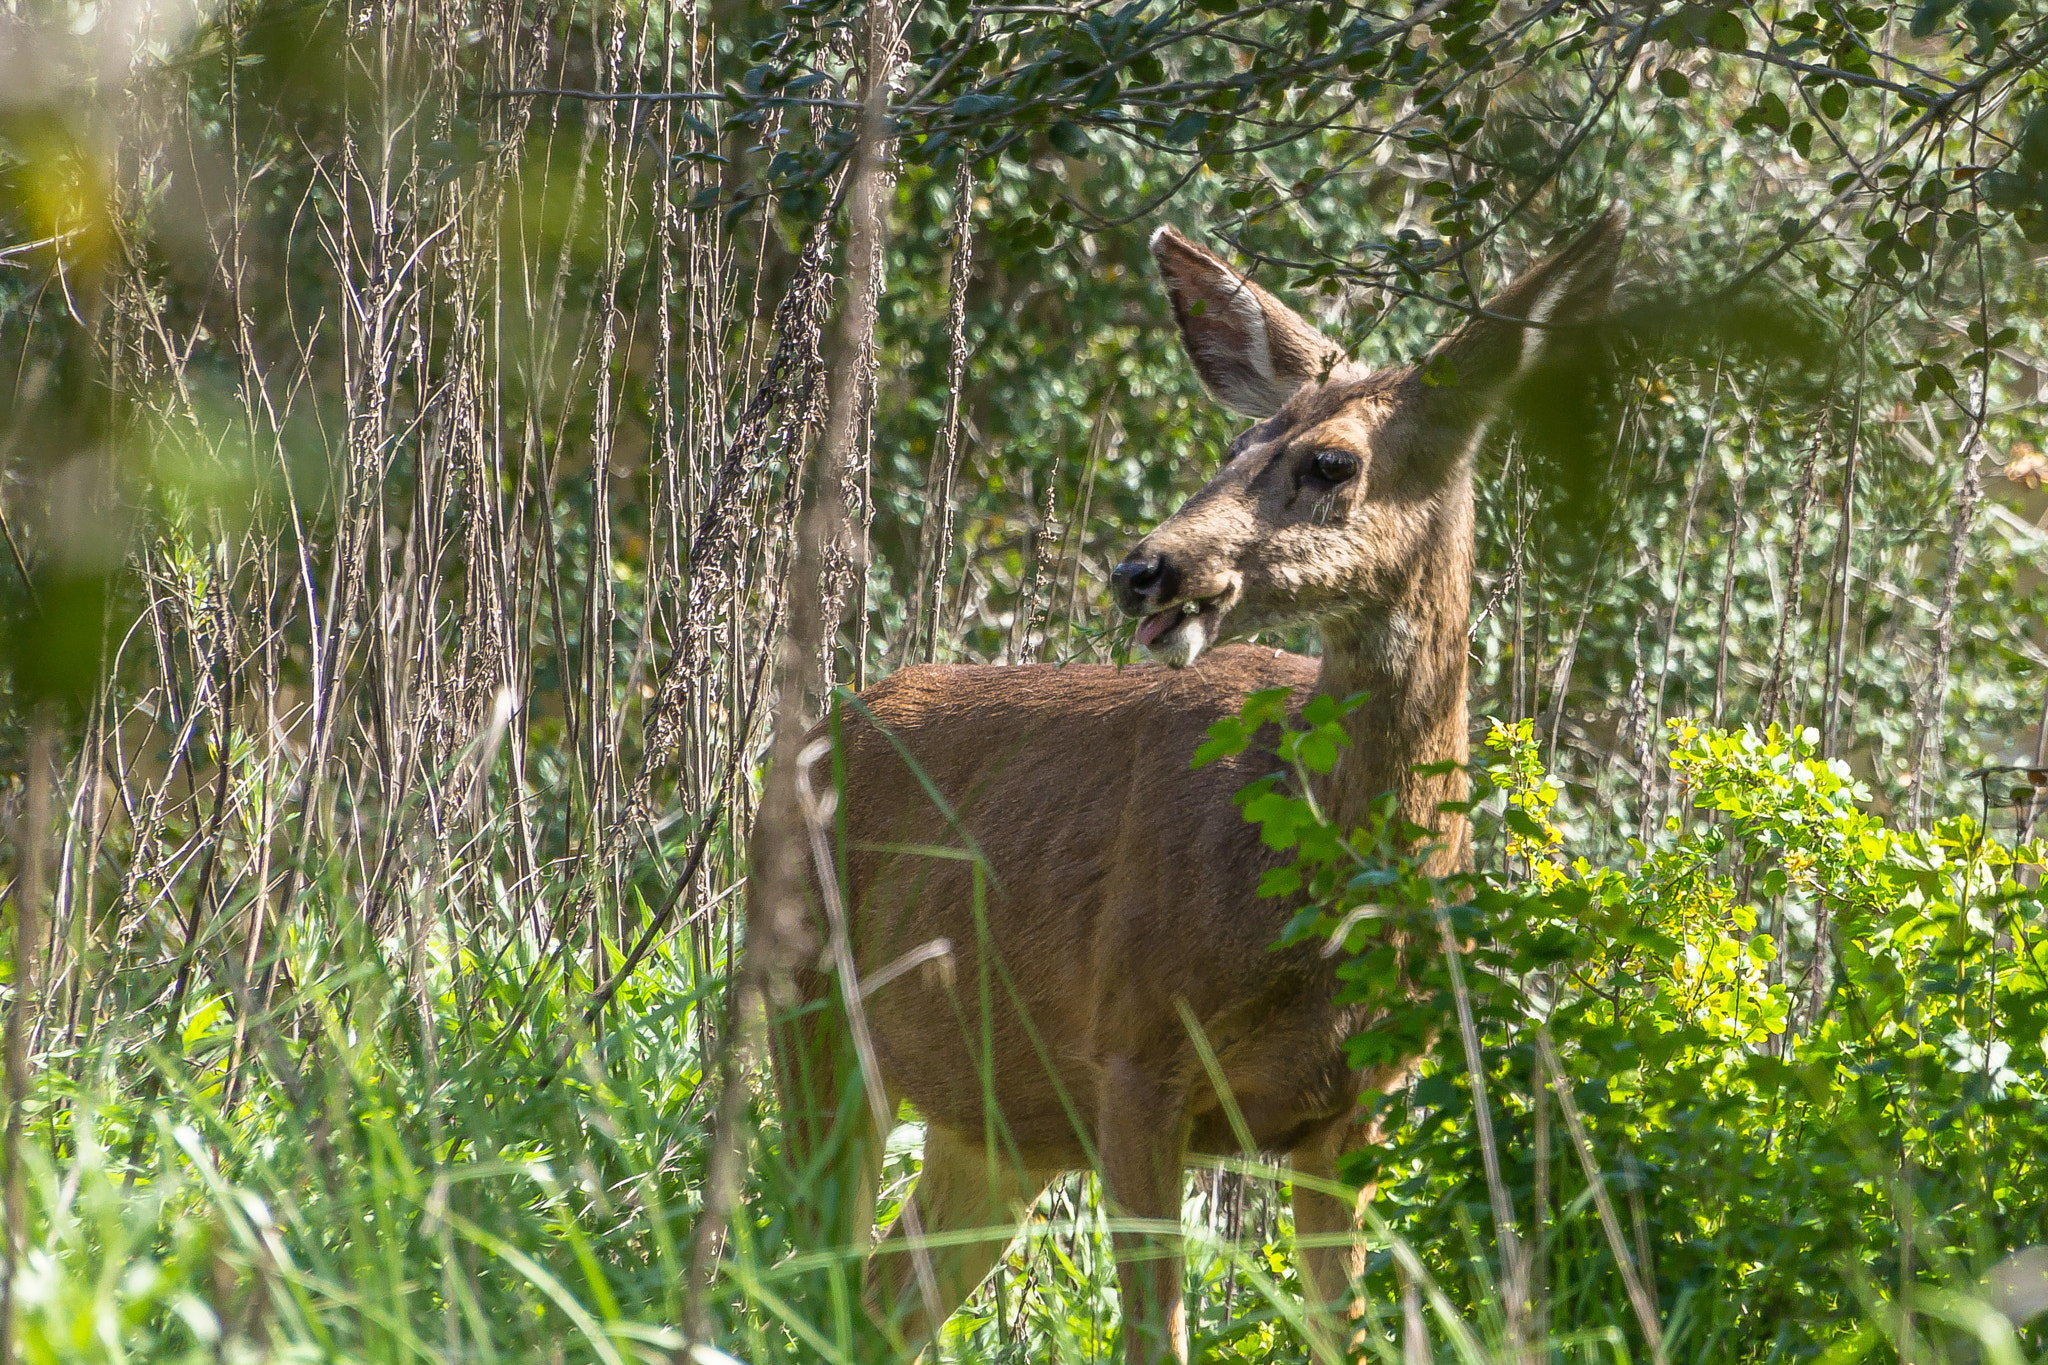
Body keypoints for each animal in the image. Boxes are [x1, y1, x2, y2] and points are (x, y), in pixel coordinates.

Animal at [770, 205, 1630, 1365]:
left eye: (1330, 461)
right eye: (1233, 445)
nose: (1145, 569)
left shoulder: (1351, 1113)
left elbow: (1345, 1335)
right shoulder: (1133, 1053)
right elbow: (1155, 1334)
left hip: (996, 1133)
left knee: (871, 1302)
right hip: (809, 1007)